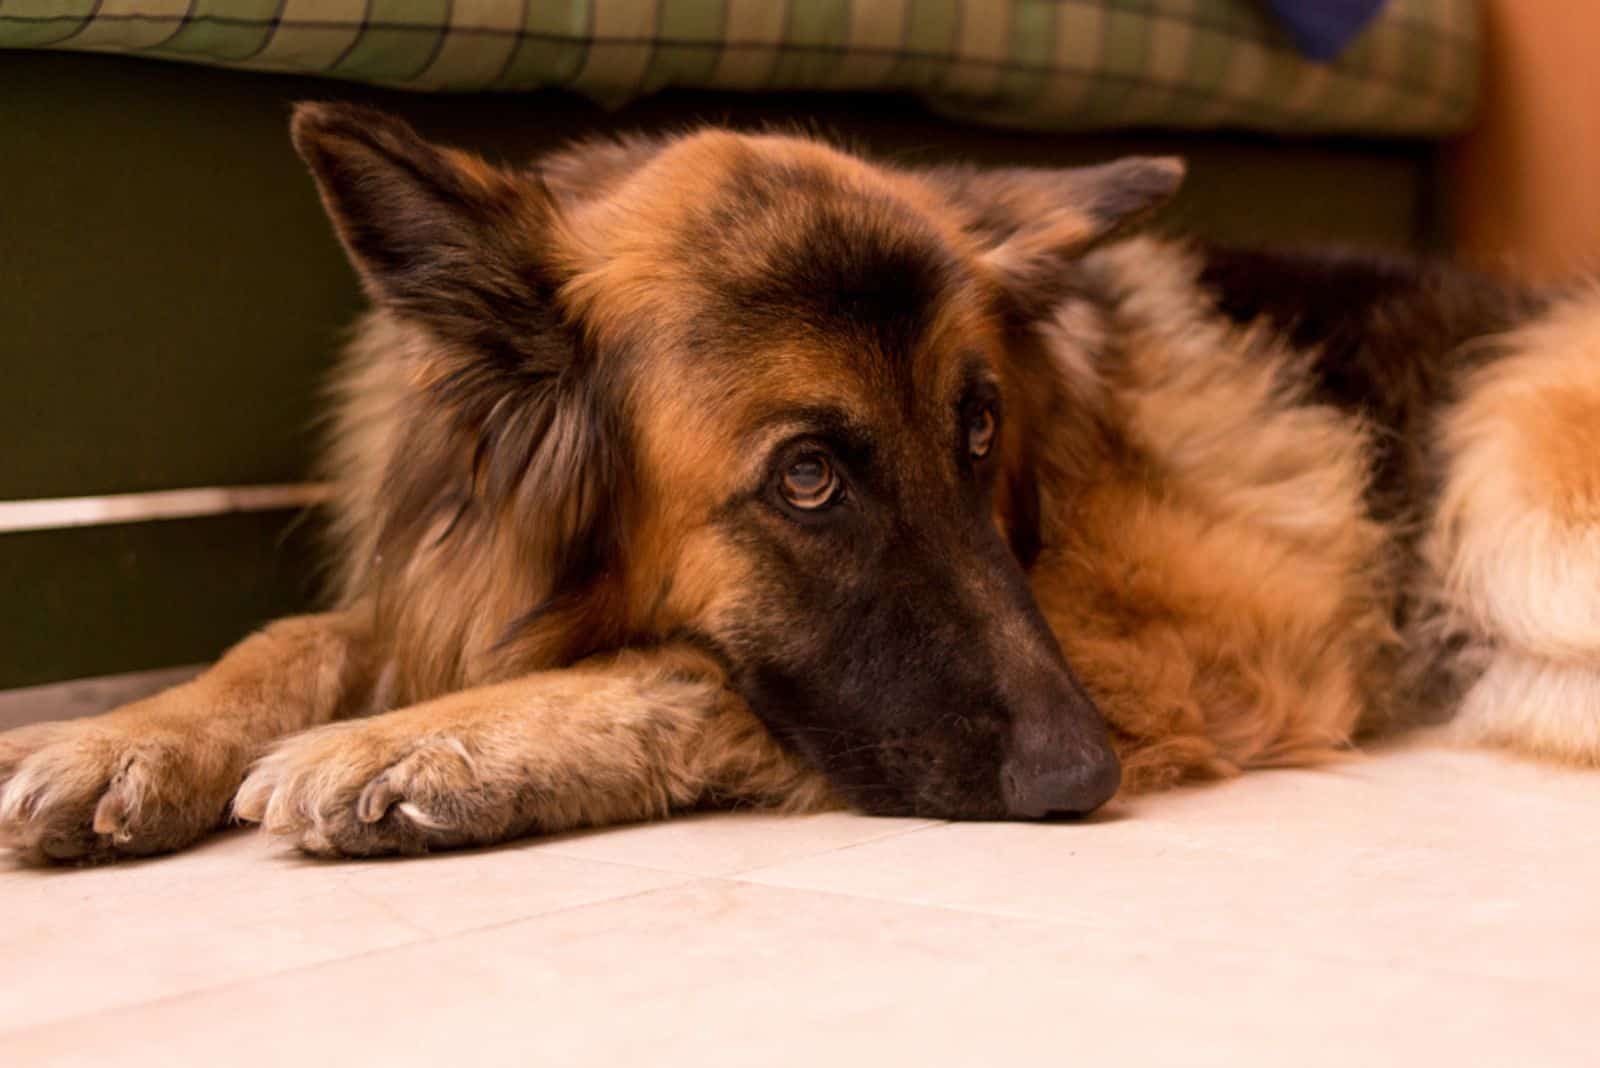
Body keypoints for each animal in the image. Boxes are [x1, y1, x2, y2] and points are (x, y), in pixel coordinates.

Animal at [3, 103, 1600, 863]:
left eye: (978, 430)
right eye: (812, 477)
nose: (1080, 779)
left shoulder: (1204, 639)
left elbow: (688, 668)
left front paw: (440, 745)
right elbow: (308, 636)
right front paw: (131, 736)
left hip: (1510, 495)